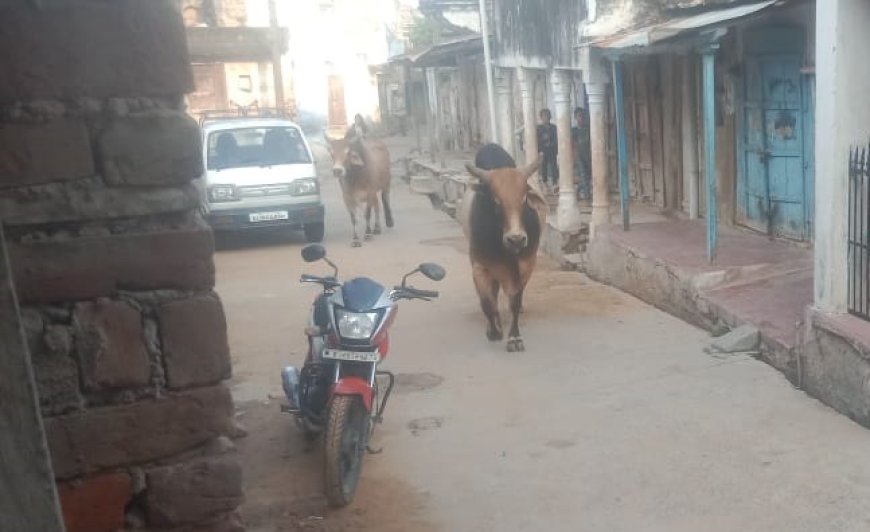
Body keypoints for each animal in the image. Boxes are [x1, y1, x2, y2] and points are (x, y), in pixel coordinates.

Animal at [464, 143, 544, 352]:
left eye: (524, 199)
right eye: (495, 200)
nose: (516, 239)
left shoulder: (527, 264)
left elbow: (514, 301)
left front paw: (514, 338)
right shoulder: (479, 265)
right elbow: (487, 302)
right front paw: (494, 331)